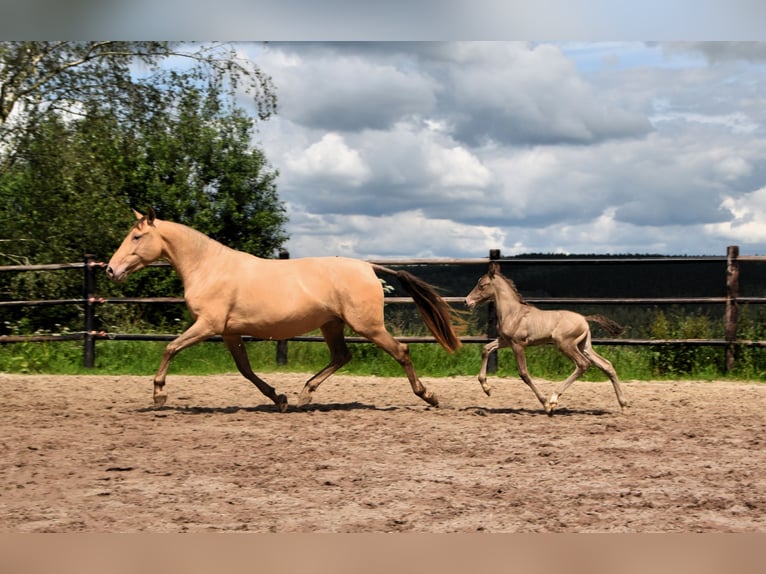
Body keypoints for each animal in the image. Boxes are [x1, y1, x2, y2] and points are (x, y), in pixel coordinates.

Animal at [107, 209, 462, 412]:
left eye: (136, 236)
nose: (111, 270)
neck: (209, 268)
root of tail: (368, 268)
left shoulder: (208, 325)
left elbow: (170, 348)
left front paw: (159, 396)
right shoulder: (229, 333)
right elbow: (245, 370)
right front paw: (279, 399)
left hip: (367, 326)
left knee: (400, 351)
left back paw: (429, 396)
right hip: (332, 325)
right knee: (341, 356)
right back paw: (305, 394)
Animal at [464, 264, 628, 416]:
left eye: (482, 285)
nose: (467, 301)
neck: (513, 313)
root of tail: (584, 319)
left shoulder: (518, 344)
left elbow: (523, 373)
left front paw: (545, 404)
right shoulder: (505, 340)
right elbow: (486, 349)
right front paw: (487, 389)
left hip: (565, 345)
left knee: (583, 364)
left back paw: (553, 399)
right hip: (584, 346)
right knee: (606, 365)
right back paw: (623, 404)